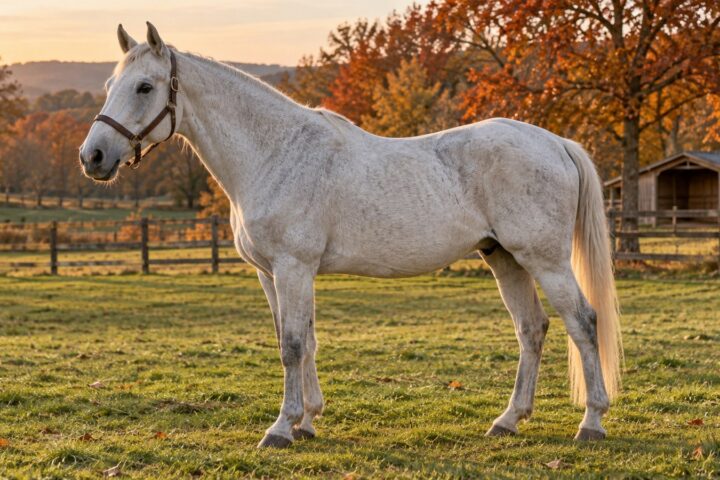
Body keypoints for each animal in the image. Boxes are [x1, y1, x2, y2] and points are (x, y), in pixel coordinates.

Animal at [79, 23, 623, 448]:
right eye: (110, 83)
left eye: (144, 87)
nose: (93, 157)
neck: (274, 152)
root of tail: (555, 142)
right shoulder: (271, 274)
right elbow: (302, 340)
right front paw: (308, 421)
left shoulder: (293, 267)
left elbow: (293, 344)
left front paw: (281, 428)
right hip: (503, 257)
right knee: (532, 329)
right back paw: (508, 421)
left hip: (545, 260)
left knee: (582, 322)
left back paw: (591, 423)